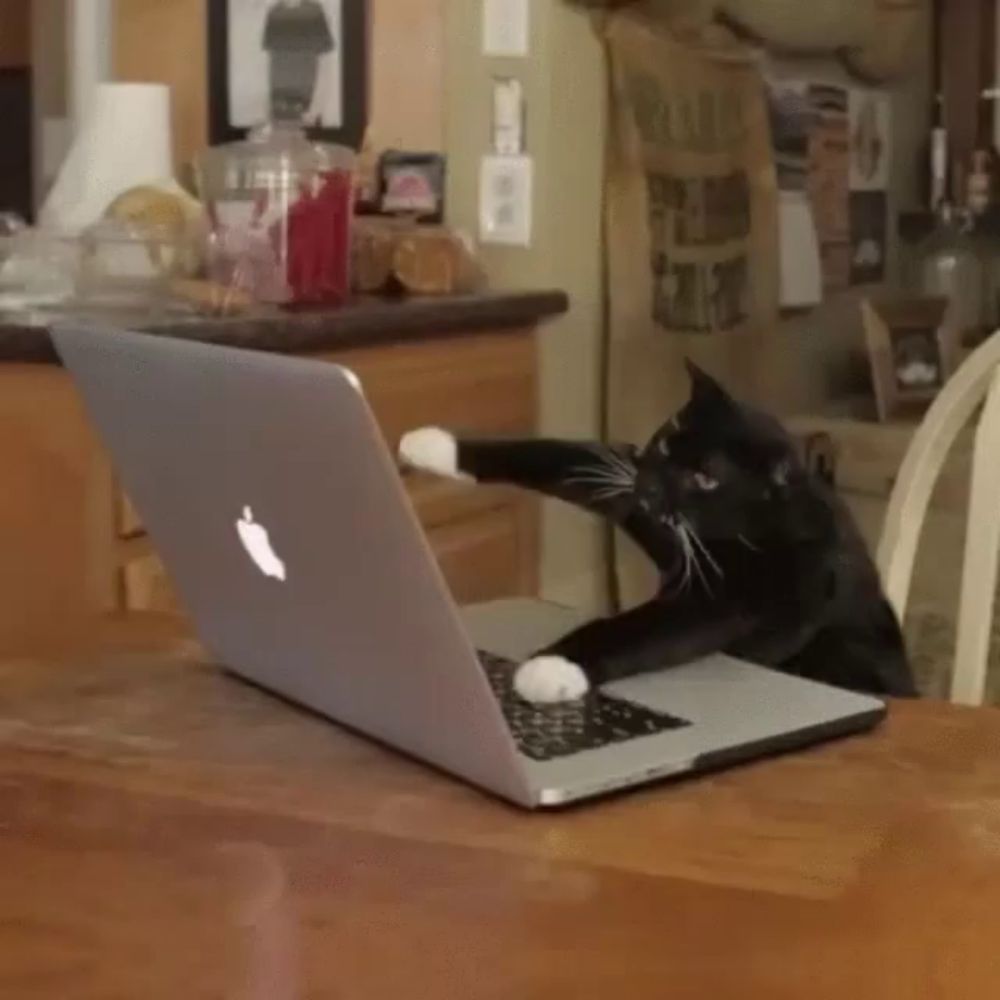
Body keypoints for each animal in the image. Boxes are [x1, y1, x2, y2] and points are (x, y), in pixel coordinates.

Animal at [398, 362, 916, 704]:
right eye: (667, 442)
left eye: (706, 478)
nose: (649, 487)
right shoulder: (634, 485)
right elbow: (559, 454)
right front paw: (434, 447)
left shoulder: (732, 599)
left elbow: (642, 627)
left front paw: (551, 667)